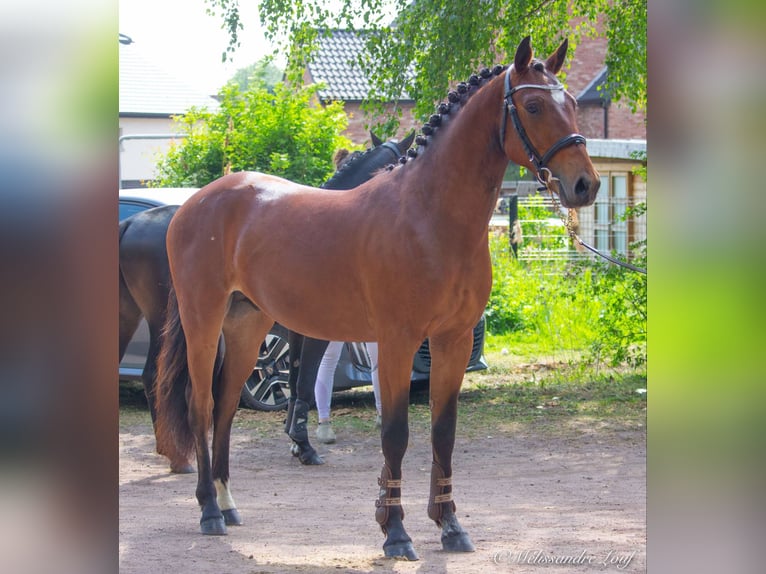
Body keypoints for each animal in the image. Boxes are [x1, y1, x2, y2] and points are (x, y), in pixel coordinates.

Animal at [119, 131, 413, 472]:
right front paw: (304, 445)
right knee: (157, 377)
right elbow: (304, 381)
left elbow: (296, 381)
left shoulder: (297, 333)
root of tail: (131, 223)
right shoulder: (314, 335)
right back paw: (177, 456)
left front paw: (296, 440)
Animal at [155, 36, 600, 558]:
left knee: (225, 407)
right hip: (203, 321)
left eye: (572, 105)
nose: (584, 184)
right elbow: (396, 433)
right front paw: (396, 532)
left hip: (247, 326)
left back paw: (227, 504)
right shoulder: (398, 342)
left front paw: (450, 525)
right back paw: (208, 510)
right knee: (201, 405)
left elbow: (443, 432)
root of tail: (195, 202)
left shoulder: (452, 340)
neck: (429, 216)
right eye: (533, 106)